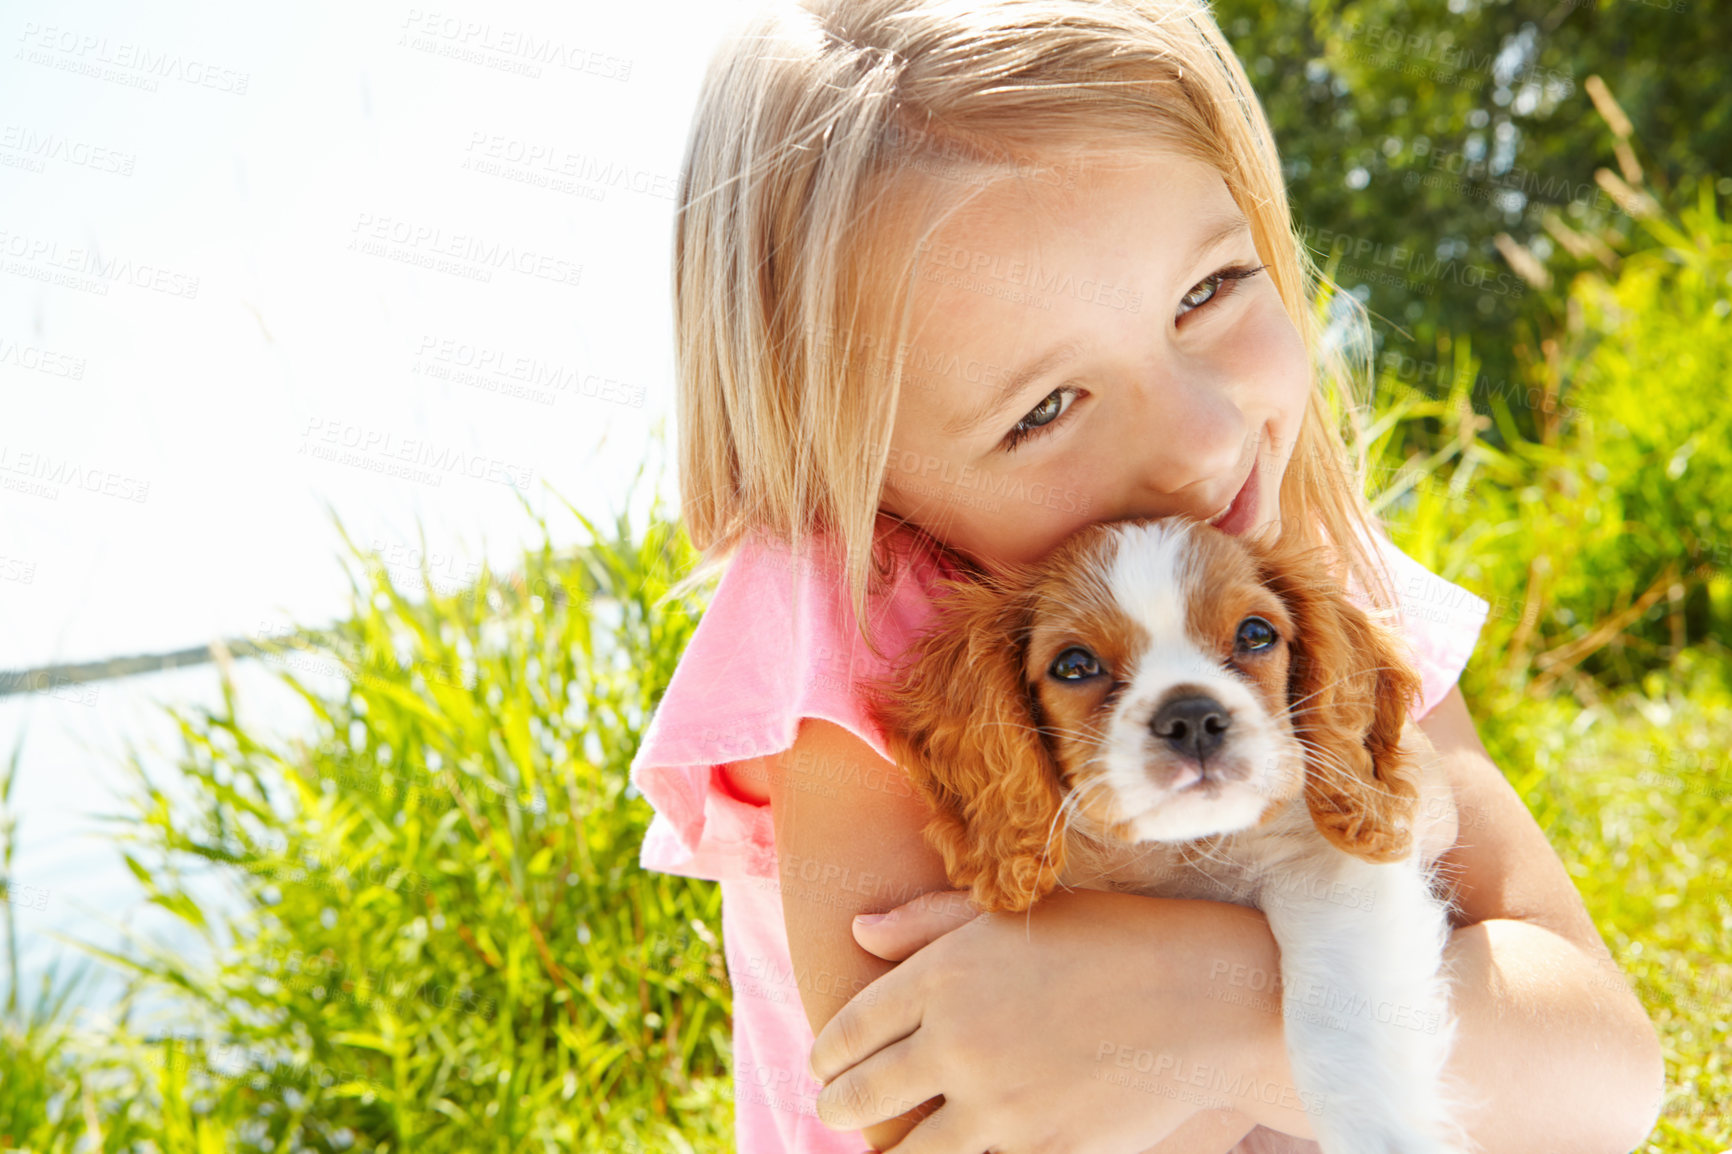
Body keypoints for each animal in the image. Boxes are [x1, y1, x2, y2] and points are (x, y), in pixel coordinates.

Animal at [872, 519, 1468, 1150]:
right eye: (1074, 665)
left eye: (1256, 634)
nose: (1193, 717)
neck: (1177, 849)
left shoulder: (1327, 871)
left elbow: (1341, 1028)